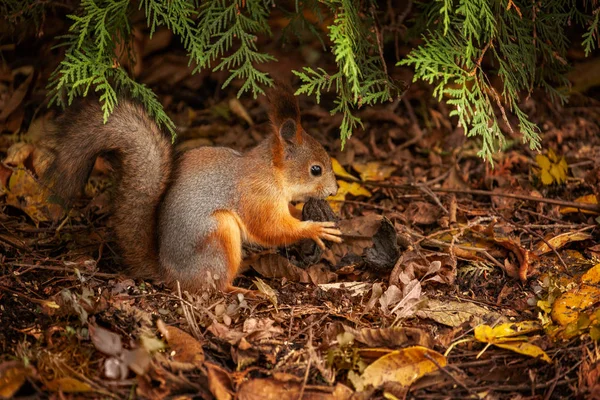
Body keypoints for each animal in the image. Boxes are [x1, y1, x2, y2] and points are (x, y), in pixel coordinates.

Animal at [41, 85, 342, 294]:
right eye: (316, 169)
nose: (334, 190)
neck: (273, 173)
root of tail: (170, 274)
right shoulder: (257, 195)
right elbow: (270, 228)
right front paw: (315, 229)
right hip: (218, 233)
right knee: (215, 287)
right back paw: (245, 290)